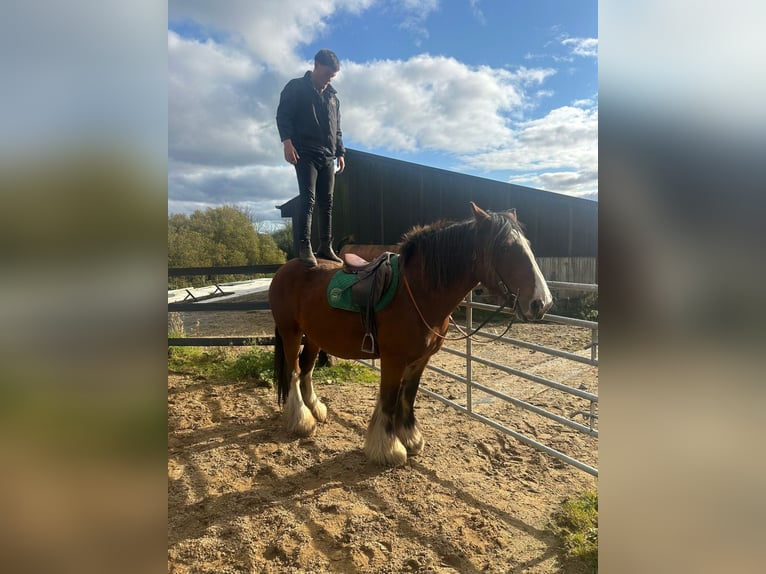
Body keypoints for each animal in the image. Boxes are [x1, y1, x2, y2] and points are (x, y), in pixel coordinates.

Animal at [270, 202, 552, 468]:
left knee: (307, 370)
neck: (417, 292)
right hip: (290, 332)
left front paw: (410, 437)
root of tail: (285, 269)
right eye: (504, 247)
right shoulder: (393, 359)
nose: (542, 303)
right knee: (294, 371)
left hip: (313, 337)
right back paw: (301, 420)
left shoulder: (420, 359)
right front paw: (388, 449)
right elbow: (389, 398)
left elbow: (407, 395)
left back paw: (315, 410)